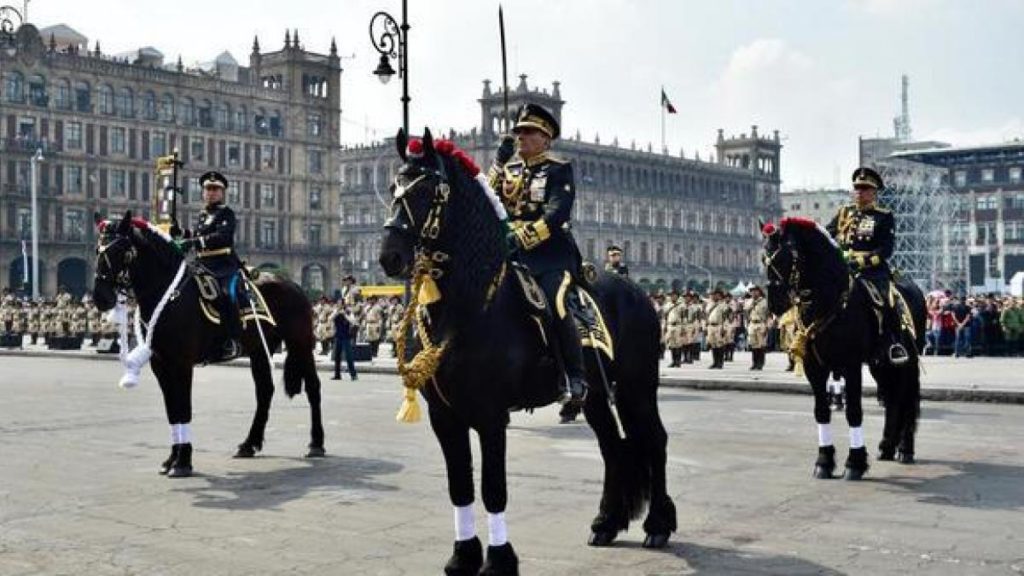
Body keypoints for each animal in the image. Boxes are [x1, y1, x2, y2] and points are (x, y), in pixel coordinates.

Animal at [93, 211, 323, 475]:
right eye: (98, 249)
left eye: (120, 249)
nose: (100, 297)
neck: (170, 295)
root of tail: (293, 284)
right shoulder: (160, 364)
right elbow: (172, 409)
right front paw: (172, 459)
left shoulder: (182, 363)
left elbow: (183, 408)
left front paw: (183, 462)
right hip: (259, 350)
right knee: (265, 391)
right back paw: (249, 444)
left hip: (300, 344)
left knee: (313, 387)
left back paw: (316, 444)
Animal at [376, 130, 671, 573]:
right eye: (395, 186)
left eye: (427, 189)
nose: (389, 255)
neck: (467, 304)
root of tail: (638, 294)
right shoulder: (445, 415)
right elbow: (460, 486)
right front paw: (462, 556)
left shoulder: (490, 414)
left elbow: (493, 488)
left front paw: (500, 559)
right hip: (595, 395)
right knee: (612, 446)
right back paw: (606, 523)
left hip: (637, 387)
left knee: (654, 439)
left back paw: (658, 526)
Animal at [761, 215, 929, 479]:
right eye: (764, 257)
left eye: (787, 255)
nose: (775, 303)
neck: (828, 301)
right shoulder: (814, 367)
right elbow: (821, 411)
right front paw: (824, 461)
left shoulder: (850, 365)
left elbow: (854, 411)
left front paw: (855, 463)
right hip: (880, 364)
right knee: (892, 399)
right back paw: (887, 447)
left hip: (909, 360)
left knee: (906, 397)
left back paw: (905, 449)